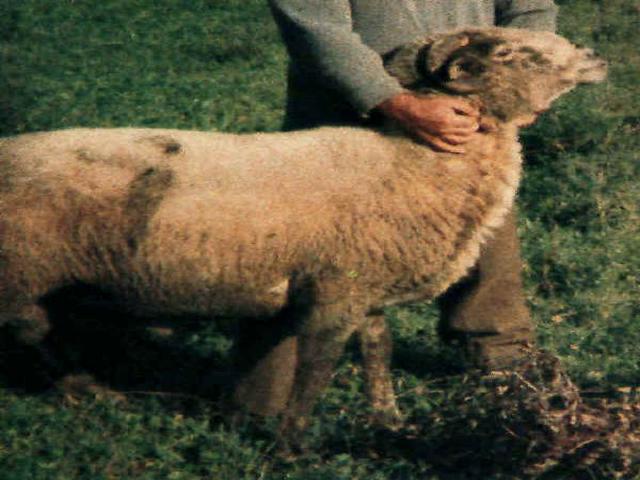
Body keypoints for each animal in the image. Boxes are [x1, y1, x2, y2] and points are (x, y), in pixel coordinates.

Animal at [0, 27, 606, 442]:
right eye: (507, 54)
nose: (596, 56)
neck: (410, 160)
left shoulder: (367, 285)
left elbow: (378, 350)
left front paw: (387, 419)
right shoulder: (334, 289)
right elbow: (317, 366)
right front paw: (292, 444)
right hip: (22, 273)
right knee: (33, 334)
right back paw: (92, 393)